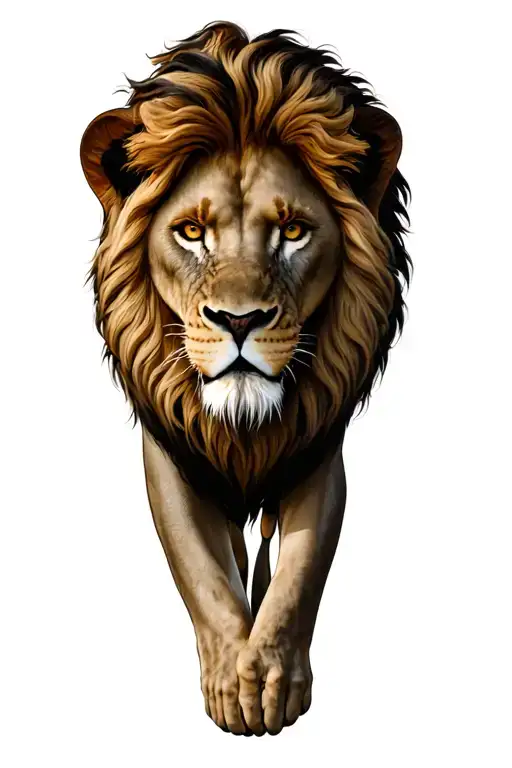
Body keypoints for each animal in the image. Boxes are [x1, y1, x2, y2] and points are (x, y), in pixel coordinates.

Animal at [80, 21, 411, 736]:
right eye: (191, 231)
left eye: (292, 230)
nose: (239, 320)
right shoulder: (170, 449)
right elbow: (202, 570)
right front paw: (233, 684)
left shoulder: (319, 445)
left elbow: (297, 578)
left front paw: (275, 681)